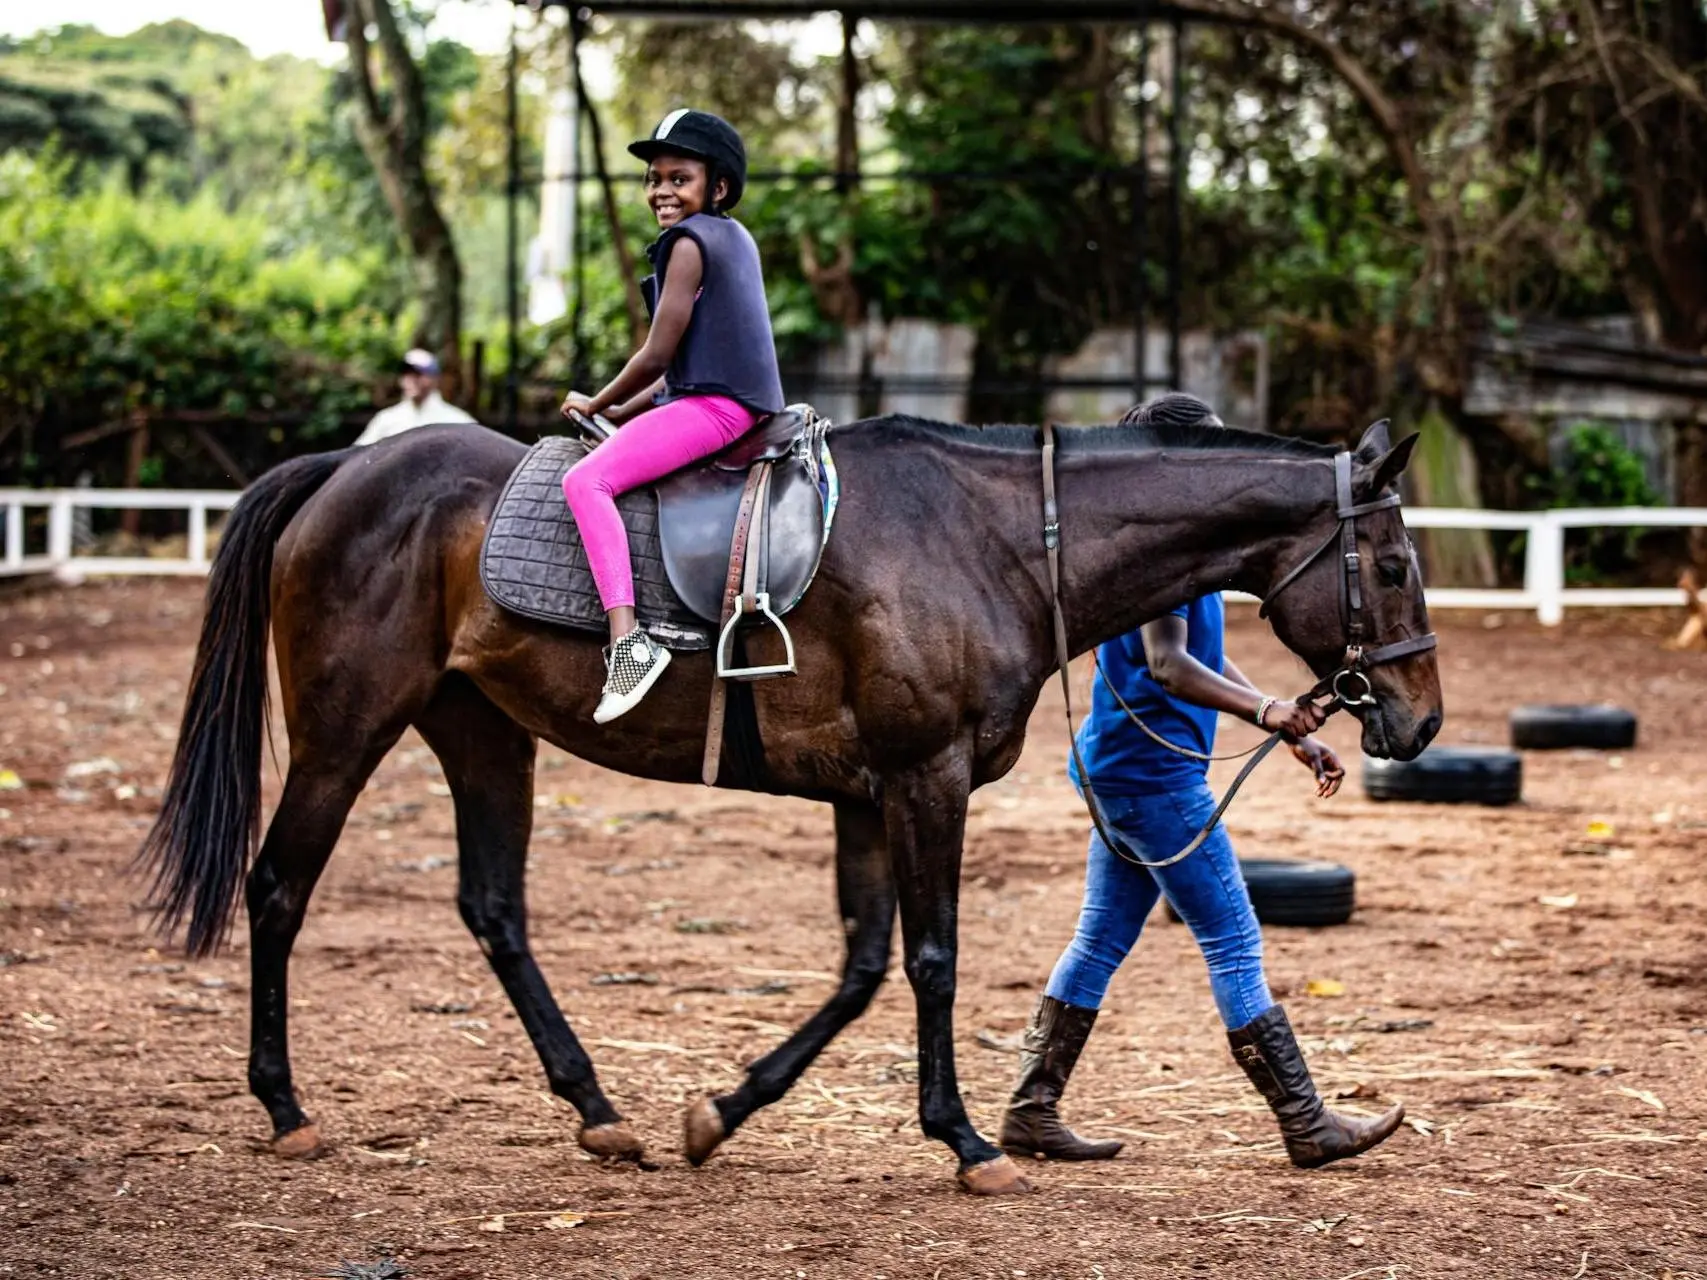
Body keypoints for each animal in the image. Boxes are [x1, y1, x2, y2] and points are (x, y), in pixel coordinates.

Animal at [139, 416, 1440, 1201]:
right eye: (1390, 566)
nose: (1420, 721)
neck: (999, 539)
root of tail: (343, 469)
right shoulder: (923, 779)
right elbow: (931, 958)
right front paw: (967, 1140)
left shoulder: (866, 793)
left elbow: (863, 966)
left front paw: (722, 1108)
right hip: (346, 729)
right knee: (279, 887)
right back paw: (285, 1104)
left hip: (482, 730)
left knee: (494, 907)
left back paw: (598, 1107)